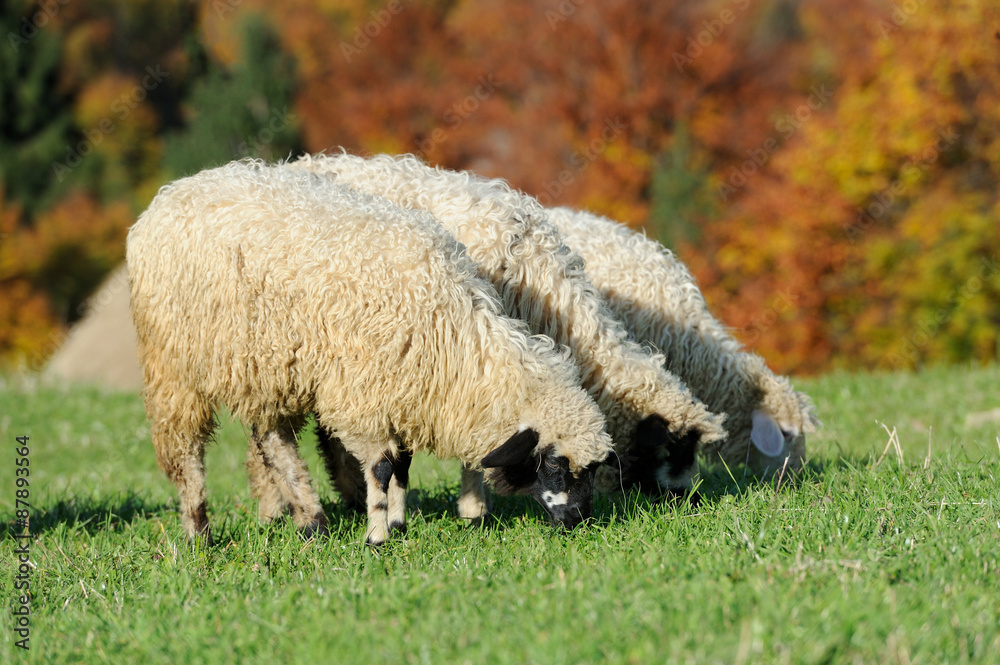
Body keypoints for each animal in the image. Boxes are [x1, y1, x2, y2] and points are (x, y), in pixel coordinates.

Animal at [129, 161, 612, 544]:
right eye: (555, 465)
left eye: (592, 470)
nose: (579, 521)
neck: (453, 334)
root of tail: (174, 192)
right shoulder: (361, 394)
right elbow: (381, 467)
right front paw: (377, 534)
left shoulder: (403, 393)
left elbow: (400, 465)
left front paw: (395, 524)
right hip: (172, 365)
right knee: (185, 452)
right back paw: (199, 533)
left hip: (263, 364)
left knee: (272, 440)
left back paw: (312, 522)